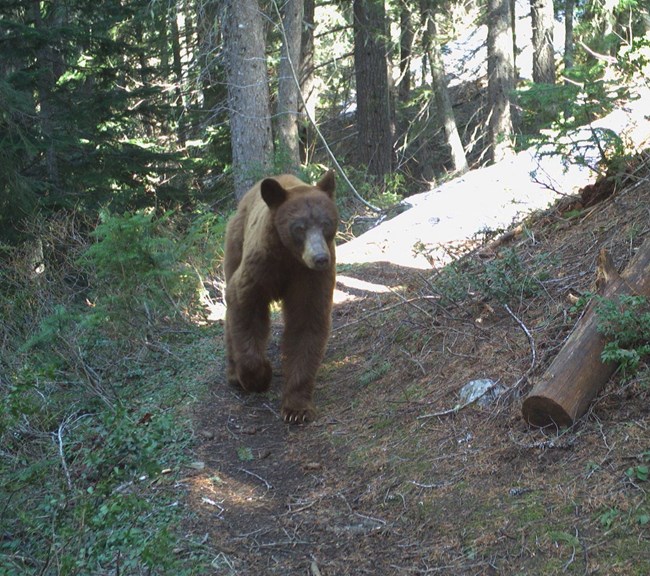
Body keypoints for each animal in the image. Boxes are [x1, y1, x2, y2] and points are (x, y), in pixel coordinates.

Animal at [223, 170, 338, 423]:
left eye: (326, 223)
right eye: (299, 227)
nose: (320, 258)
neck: (289, 257)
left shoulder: (310, 278)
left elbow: (307, 322)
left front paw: (296, 408)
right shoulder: (260, 266)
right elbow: (245, 305)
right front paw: (258, 376)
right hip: (236, 241)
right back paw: (233, 374)